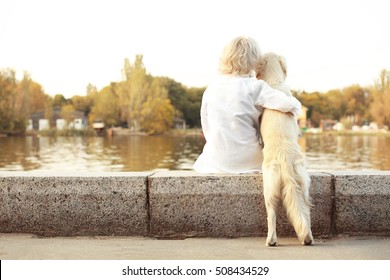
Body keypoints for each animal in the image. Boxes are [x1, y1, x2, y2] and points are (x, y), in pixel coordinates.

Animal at [256, 52, 314, 245]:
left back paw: (271, 240)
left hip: (269, 187)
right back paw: (307, 238)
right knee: (304, 212)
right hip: (302, 185)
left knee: (271, 214)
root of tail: (285, 159)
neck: (275, 82)